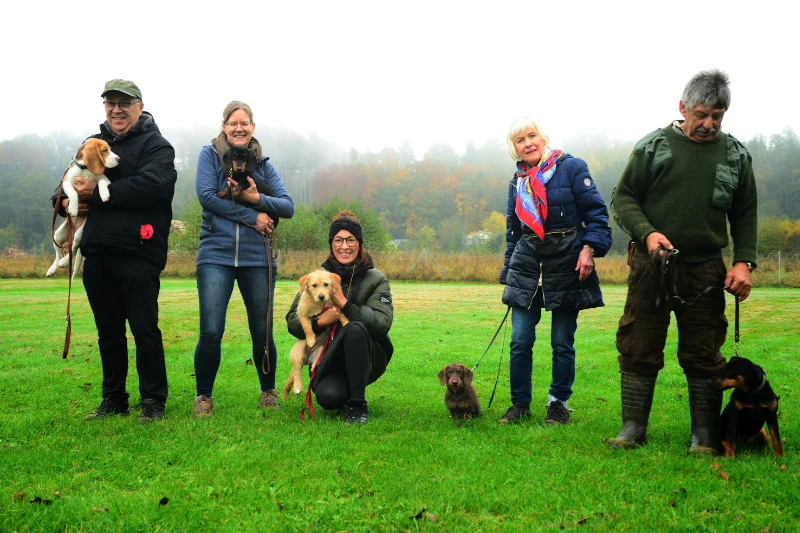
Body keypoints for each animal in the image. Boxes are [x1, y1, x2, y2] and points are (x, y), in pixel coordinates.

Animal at [46, 137, 119, 278]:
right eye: (104, 150)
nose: (118, 158)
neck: (85, 169)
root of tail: (72, 231)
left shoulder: (103, 178)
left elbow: (101, 183)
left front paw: (104, 194)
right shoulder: (67, 182)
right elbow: (73, 193)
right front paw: (74, 208)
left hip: (79, 234)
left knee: (73, 249)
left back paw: (64, 261)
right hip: (57, 234)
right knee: (58, 254)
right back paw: (53, 268)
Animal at [286, 270, 352, 400]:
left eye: (326, 284)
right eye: (314, 285)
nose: (321, 296)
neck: (320, 305)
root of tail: (306, 359)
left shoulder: (336, 307)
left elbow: (341, 315)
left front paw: (346, 323)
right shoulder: (302, 314)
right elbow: (307, 327)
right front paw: (311, 339)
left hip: (320, 351)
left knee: (313, 364)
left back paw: (314, 367)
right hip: (297, 354)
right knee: (296, 372)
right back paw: (297, 387)